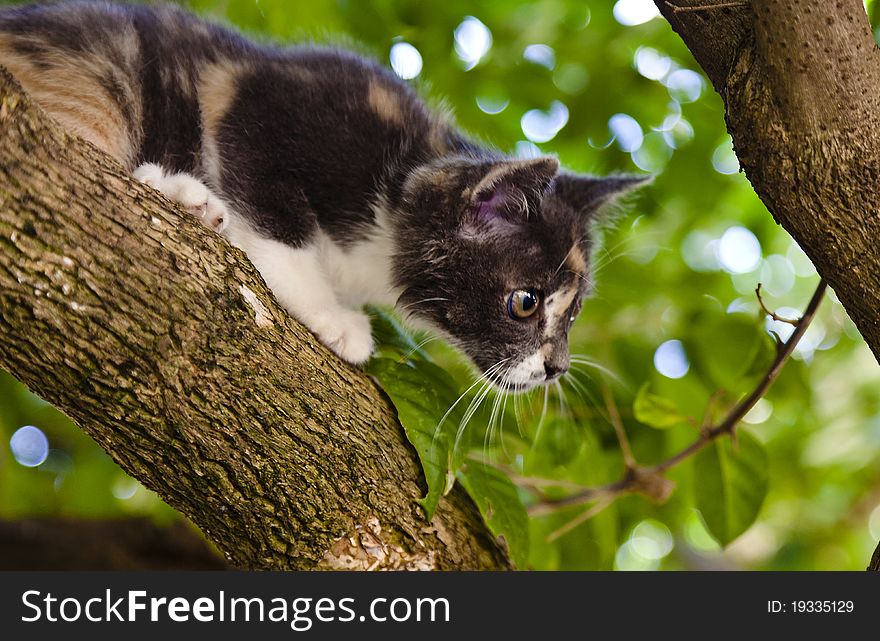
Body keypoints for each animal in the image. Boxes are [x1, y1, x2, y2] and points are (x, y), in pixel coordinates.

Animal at [0, 1, 648, 390]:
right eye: (526, 303)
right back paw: (183, 194)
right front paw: (326, 311)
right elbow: (275, 210)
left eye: (575, 311)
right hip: (102, 69)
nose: (556, 368)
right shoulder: (263, 98)